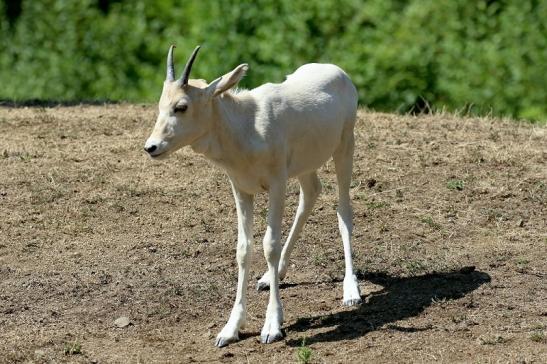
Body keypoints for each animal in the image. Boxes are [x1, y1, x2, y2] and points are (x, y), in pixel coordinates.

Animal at [143, 45, 362, 346]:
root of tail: (337, 71)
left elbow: (269, 245)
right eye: (161, 105)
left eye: (181, 106)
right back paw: (272, 276)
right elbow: (243, 249)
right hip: (305, 165)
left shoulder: (277, 185)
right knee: (311, 192)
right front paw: (230, 329)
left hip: (344, 147)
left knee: (343, 211)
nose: (151, 147)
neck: (247, 126)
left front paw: (272, 325)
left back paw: (351, 291)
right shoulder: (241, 189)